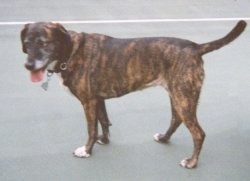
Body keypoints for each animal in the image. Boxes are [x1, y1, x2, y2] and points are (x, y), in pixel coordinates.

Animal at [20, 20, 247, 168]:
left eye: (43, 43)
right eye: (27, 43)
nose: (28, 66)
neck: (70, 50)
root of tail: (195, 47)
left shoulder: (88, 102)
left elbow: (91, 129)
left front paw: (86, 150)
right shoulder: (98, 100)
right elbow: (104, 121)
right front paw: (105, 140)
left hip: (183, 98)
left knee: (198, 133)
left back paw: (191, 162)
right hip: (178, 96)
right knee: (176, 119)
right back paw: (164, 138)